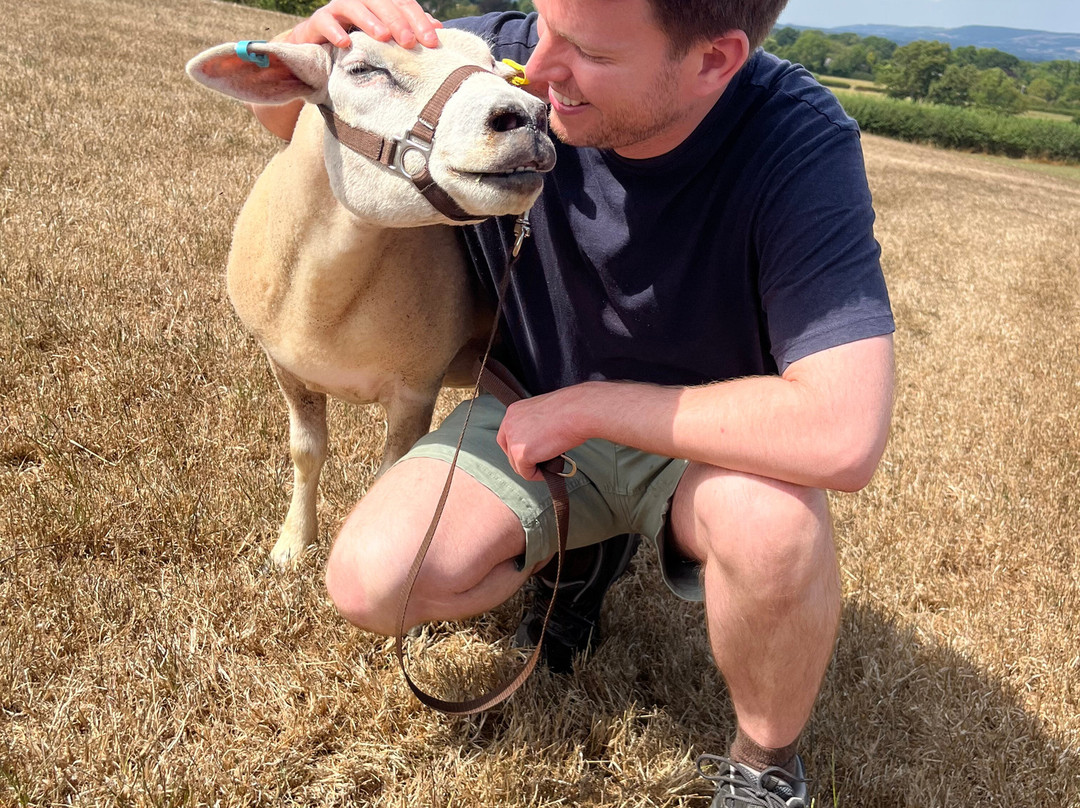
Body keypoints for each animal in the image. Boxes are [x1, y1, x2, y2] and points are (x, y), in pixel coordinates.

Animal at [186, 29, 555, 566]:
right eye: (363, 69)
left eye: (496, 67)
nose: (527, 116)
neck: (323, 303)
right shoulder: (285, 368)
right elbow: (306, 453)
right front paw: (292, 547)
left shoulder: (416, 387)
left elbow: (389, 474)